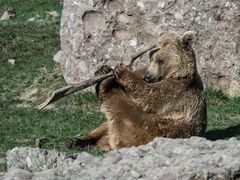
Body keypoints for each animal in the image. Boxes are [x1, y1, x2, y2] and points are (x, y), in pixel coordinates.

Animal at [68, 30, 207, 150]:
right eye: (151, 58)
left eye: (161, 60)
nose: (148, 77)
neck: (178, 74)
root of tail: (107, 143)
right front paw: (104, 70)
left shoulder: (177, 92)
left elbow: (149, 95)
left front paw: (121, 70)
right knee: (101, 127)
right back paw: (77, 141)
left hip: (148, 129)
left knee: (120, 108)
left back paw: (105, 83)